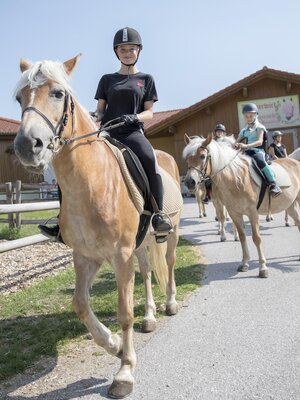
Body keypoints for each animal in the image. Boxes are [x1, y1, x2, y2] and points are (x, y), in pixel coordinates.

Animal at [14, 54, 182, 398]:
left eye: (58, 94)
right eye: (19, 98)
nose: (27, 145)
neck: (92, 184)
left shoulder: (120, 256)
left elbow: (124, 312)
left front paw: (125, 371)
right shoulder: (85, 256)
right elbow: (80, 304)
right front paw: (114, 344)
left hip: (168, 235)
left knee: (169, 265)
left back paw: (170, 304)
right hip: (140, 246)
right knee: (147, 273)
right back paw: (150, 317)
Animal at [183, 133, 300, 276]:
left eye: (202, 156)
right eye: (187, 158)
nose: (190, 182)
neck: (237, 179)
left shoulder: (252, 213)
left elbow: (256, 238)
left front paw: (263, 268)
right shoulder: (234, 213)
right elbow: (243, 237)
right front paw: (244, 263)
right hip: (290, 205)